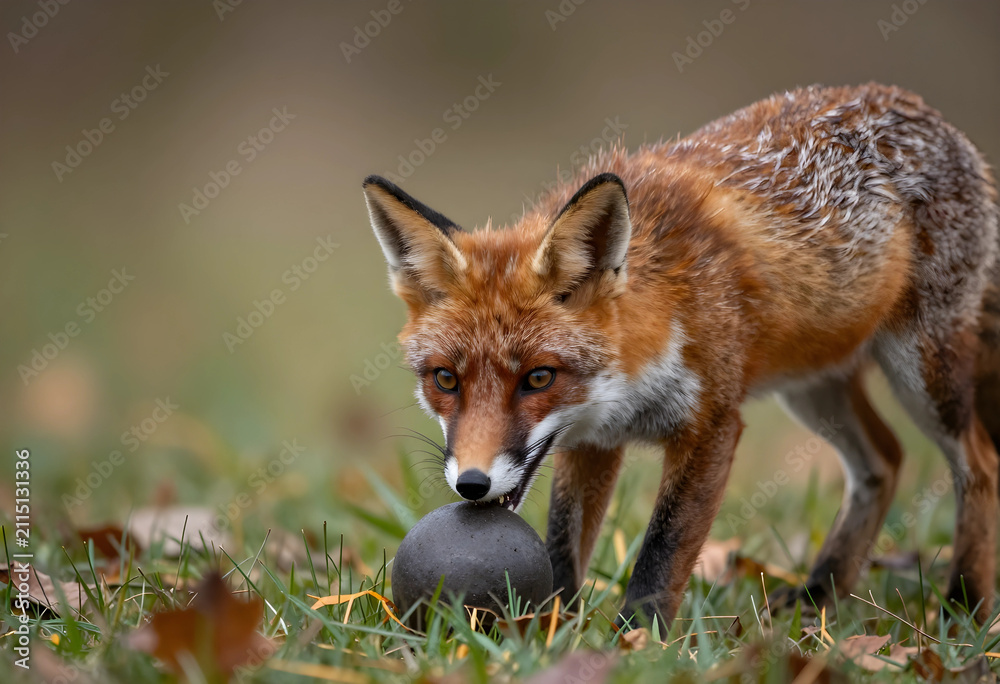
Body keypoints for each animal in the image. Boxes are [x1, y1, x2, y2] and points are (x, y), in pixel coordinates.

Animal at [363, 82, 1000, 629]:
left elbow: (661, 553)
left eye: (539, 378)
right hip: (814, 387)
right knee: (885, 460)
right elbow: (563, 545)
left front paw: (633, 643)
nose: (472, 485)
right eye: (445, 380)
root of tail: (925, 111)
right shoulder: (593, 442)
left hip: (925, 375)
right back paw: (820, 594)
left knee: (979, 462)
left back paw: (963, 606)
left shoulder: (712, 427)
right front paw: (551, 632)